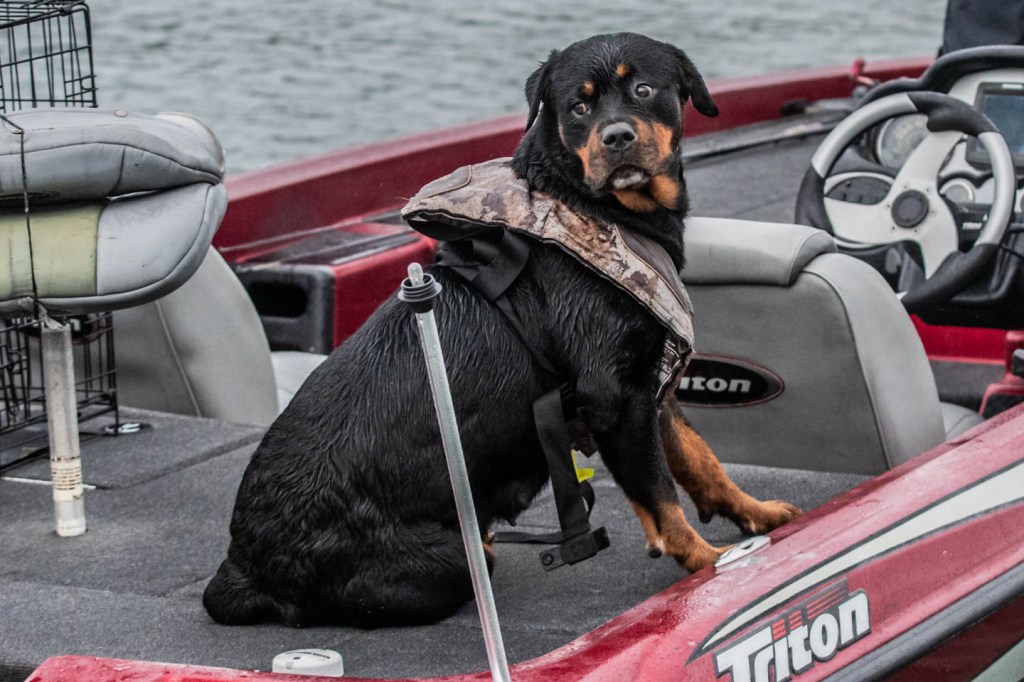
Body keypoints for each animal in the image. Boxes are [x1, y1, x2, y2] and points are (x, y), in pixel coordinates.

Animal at [204, 32, 800, 629]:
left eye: (644, 90)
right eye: (578, 107)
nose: (617, 137)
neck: (600, 207)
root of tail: (244, 570)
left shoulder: (651, 384)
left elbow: (701, 460)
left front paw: (758, 514)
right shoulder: (615, 397)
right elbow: (661, 495)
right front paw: (709, 563)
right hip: (449, 558)